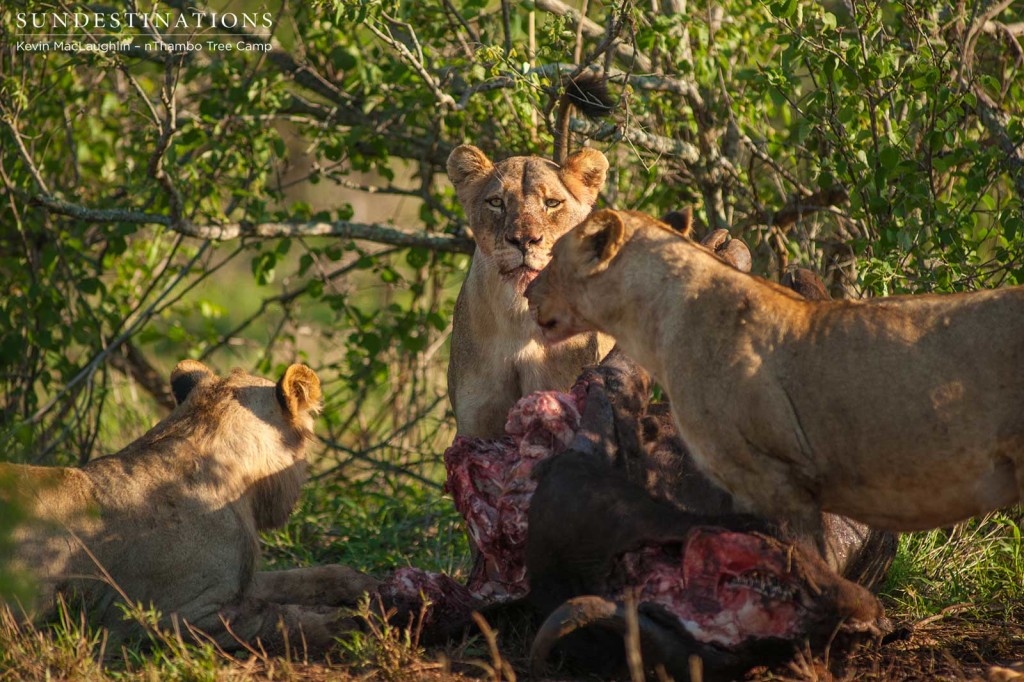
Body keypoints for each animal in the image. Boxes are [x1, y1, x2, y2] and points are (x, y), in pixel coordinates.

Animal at [2, 360, 378, 655]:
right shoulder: (174, 615)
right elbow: (277, 617)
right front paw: (348, 625)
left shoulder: (238, 581)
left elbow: (308, 577)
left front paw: (366, 585)